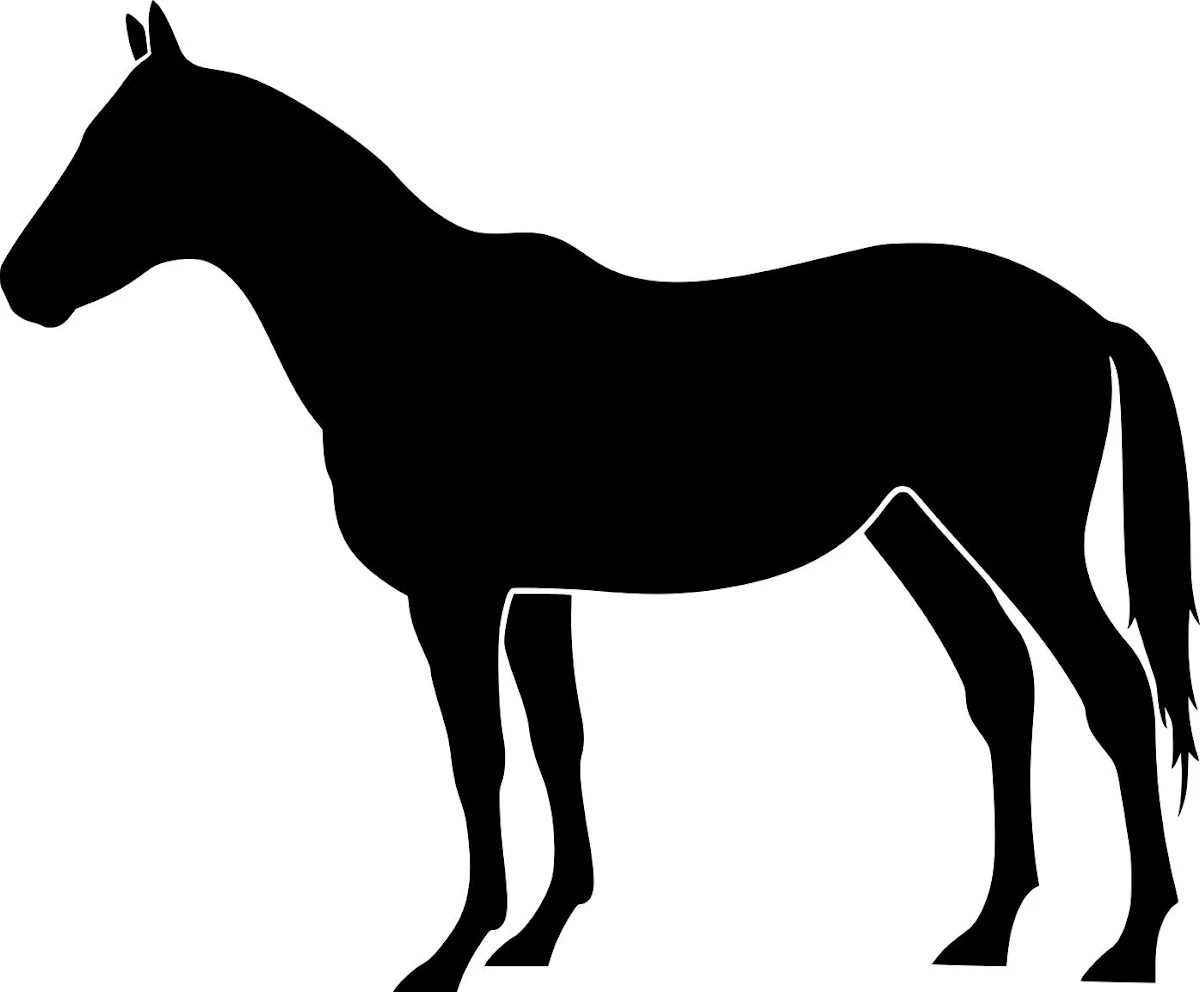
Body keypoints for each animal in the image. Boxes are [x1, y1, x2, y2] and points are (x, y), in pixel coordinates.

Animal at [2, 5, 1194, 988]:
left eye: (125, 152)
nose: (22, 286)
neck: (411, 328)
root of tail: (1087, 318)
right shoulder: (537, 588)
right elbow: (556, 740)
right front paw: (536, 934)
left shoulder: (457, 592)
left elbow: (478, 756)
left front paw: (448, 955)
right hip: (913, 524)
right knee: (1001, 684)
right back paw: (987, 931)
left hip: (1015, 527)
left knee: (1114, 688)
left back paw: (1130, 945)